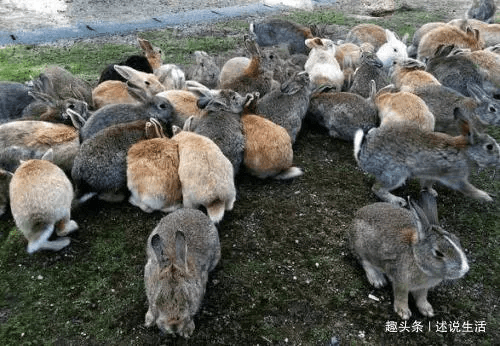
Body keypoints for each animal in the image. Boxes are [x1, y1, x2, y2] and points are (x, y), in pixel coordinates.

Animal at [144, 208, 220, 338]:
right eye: (157, 302)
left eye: (188, 300)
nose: (173, 326)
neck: (173, 260)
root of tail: (194, 211)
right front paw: (149, 320)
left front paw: (187, 330)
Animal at [350, 191, 470, 320]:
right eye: (438, 253)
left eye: (457, 240)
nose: (465, 269)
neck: (416, 258)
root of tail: (355, 216)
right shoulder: (400, 281)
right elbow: (402, 296)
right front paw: (403, 312)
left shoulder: (423, 287)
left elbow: (422, 297)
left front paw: (427, 310)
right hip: (361, 245)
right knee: (364, 261)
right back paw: (377, 280)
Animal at [352, 112, 500, 207]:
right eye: (489, 147)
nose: (499, 158)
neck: (465, 152)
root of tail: (363, 156)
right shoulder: (456, 177)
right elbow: (468, 189)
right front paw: (486, 197)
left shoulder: (433, 173)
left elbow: (427, 183)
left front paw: (432, 192)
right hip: (396, 172)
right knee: (377, 188)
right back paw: (397, 201)